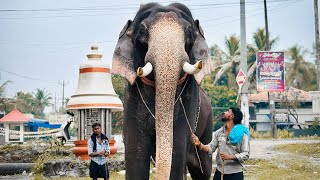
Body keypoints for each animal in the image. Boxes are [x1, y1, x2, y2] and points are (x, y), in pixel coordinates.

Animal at [111, 2, 214, 180]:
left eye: (189, 34)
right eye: (142, 32)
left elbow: (177, 147)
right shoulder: (131, 96)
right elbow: (135, 149)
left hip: (208, 124)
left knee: (203, 168)